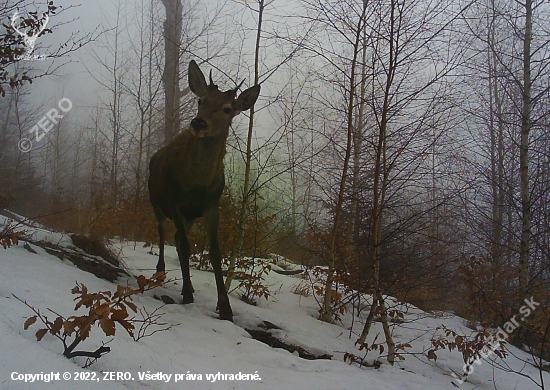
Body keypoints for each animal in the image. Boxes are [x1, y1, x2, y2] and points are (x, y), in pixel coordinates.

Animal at [149, 61, 260, 322]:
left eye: (228, 108)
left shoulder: (211, 206)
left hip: (189, 216)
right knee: (162, 232)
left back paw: (186, 284)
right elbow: (186, 246)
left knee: (175, 237)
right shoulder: (176, 204)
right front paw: (189, 296)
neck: (197, 185)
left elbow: (215, 252)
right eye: (201, 100)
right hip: (156, 201)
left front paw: (225, 308)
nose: (199, 123)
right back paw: (161, 272)